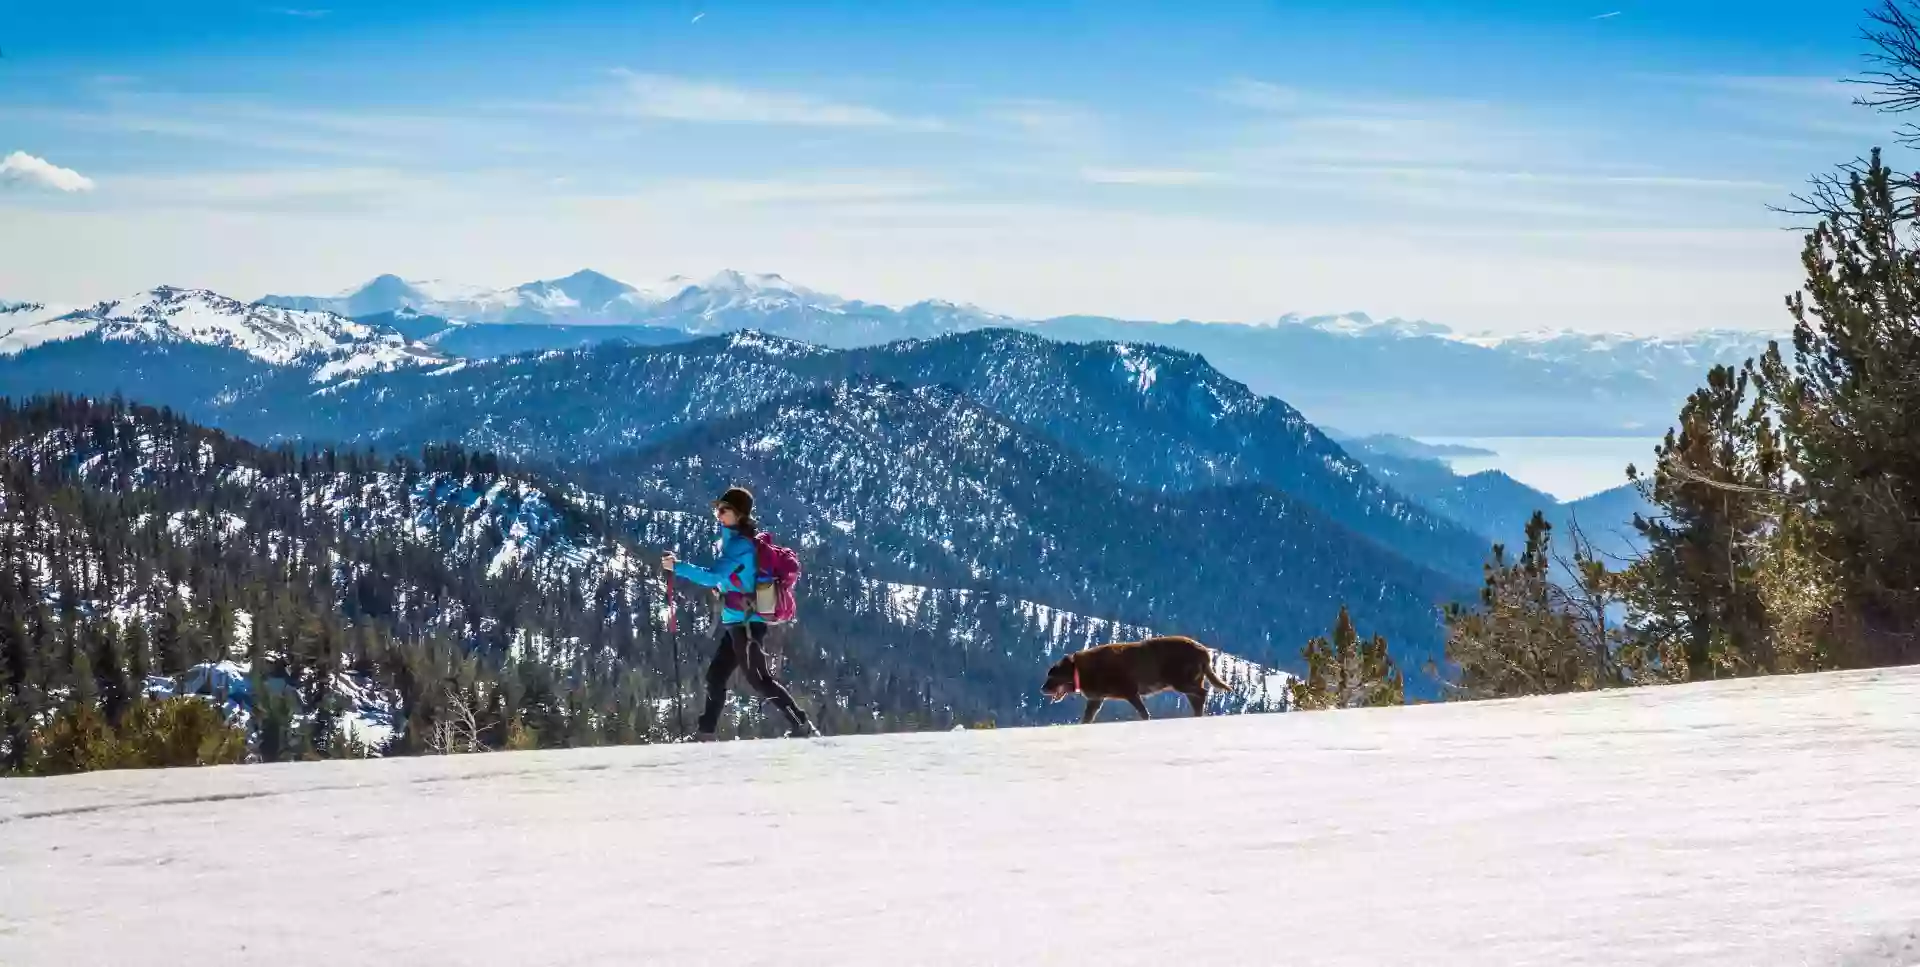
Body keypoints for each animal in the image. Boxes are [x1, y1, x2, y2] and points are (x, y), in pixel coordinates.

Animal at [1052, 636, 1228, 721]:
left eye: (1052, 675)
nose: (1045, 688)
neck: (1080, 670)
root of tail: (1204, 651)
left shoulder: (1130, 691)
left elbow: (1143, 713)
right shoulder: (1096, 700)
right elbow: (1087, 718)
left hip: (1181, 682)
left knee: (1203, 693)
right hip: (1189, 682)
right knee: (1198, 699)